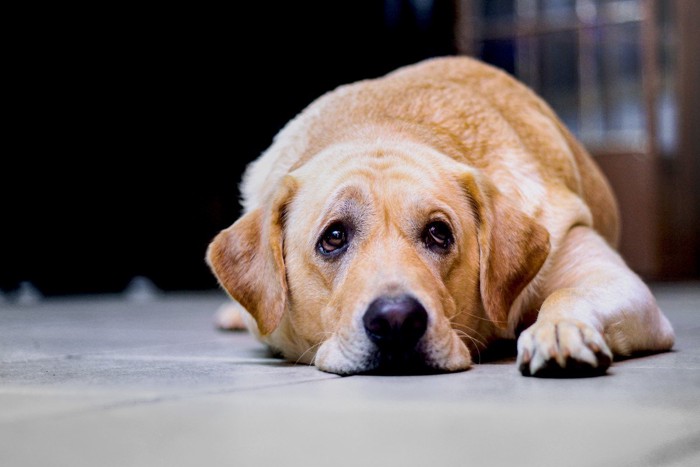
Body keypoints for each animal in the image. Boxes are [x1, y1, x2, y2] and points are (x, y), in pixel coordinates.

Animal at [206, 57, 672, 376]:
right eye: (333, 237)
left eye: (438, 233)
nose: (396, 321)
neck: (385, 122)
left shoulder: (608, 274)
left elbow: (568, 293)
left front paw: (558, 328)